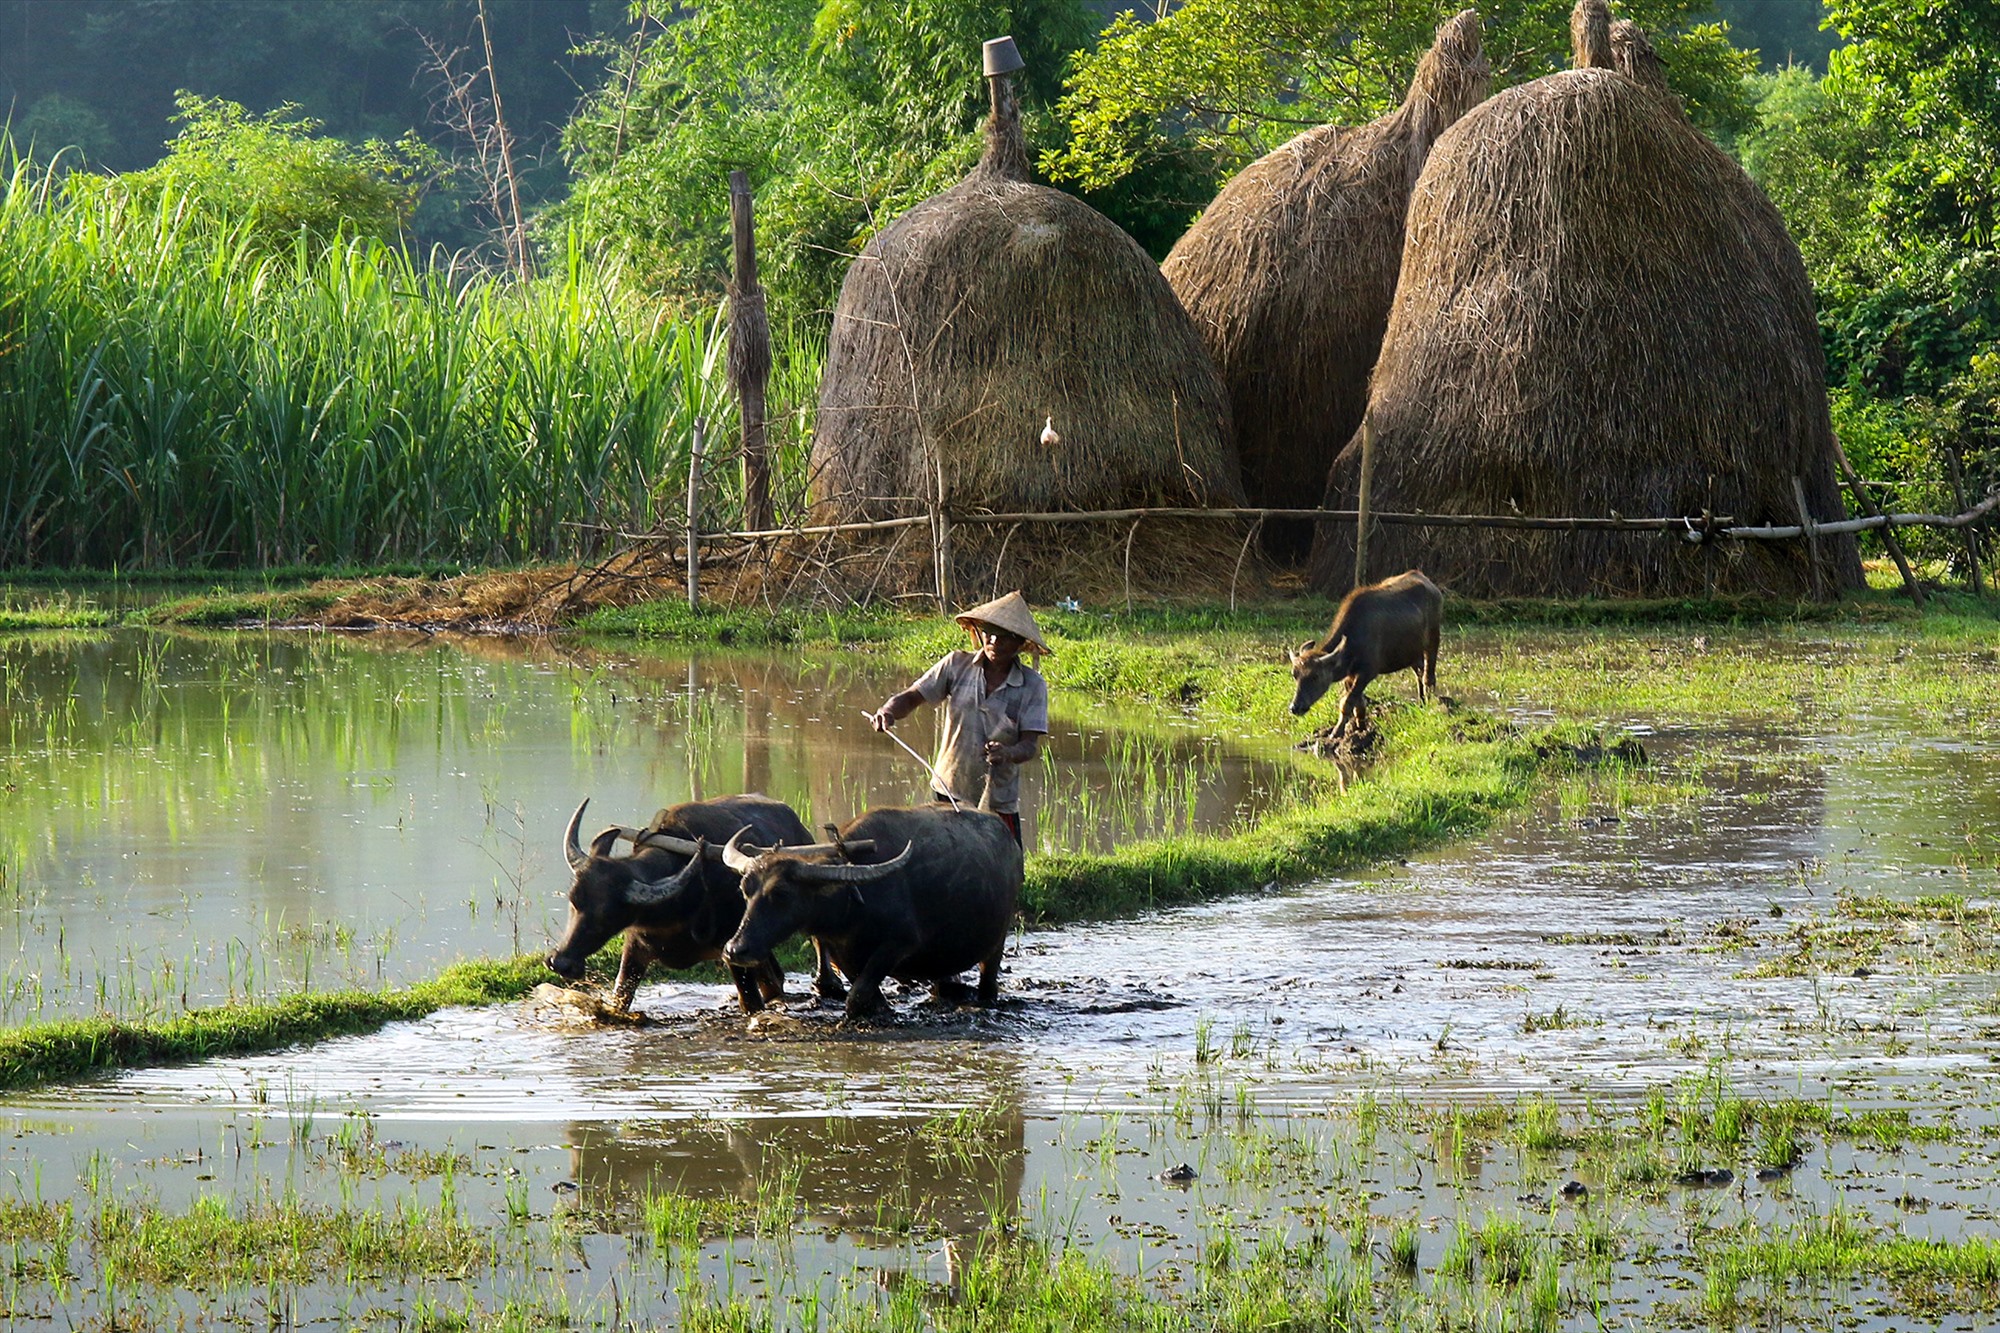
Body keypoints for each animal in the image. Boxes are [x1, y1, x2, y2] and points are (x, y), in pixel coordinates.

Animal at [544, 792, 840, 1012]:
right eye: (573, 901)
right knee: (774, 977)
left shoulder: (732, 951)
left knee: (818, 943)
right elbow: (620, 997)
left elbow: (751, 1002)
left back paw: (826, 985)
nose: (560, 962)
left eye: (608, 915)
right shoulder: (635, 947)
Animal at [720, 800, 1024, 1016]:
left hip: (997, 940)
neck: (851, 905)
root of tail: (1010, 842)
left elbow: (856, 998)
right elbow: (864, 990)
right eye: (745, 889)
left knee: (989, 978)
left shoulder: (900, 943)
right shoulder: (844, 956)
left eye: (781, 893)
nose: (735, 949)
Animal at [1288, 564, 1448, 732]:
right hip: (1412, 652)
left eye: (1315, 676)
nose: (1295, 707)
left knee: (1428, 676)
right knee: (1419, 672)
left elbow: (1347, 702)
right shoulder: (1350, 676)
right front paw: (1360, 727)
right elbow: (1358, 704)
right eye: (1295, 675)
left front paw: (1337, 731)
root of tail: (1430, 585)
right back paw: (1422, 702)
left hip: (1433, 639)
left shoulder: (1367, 673)